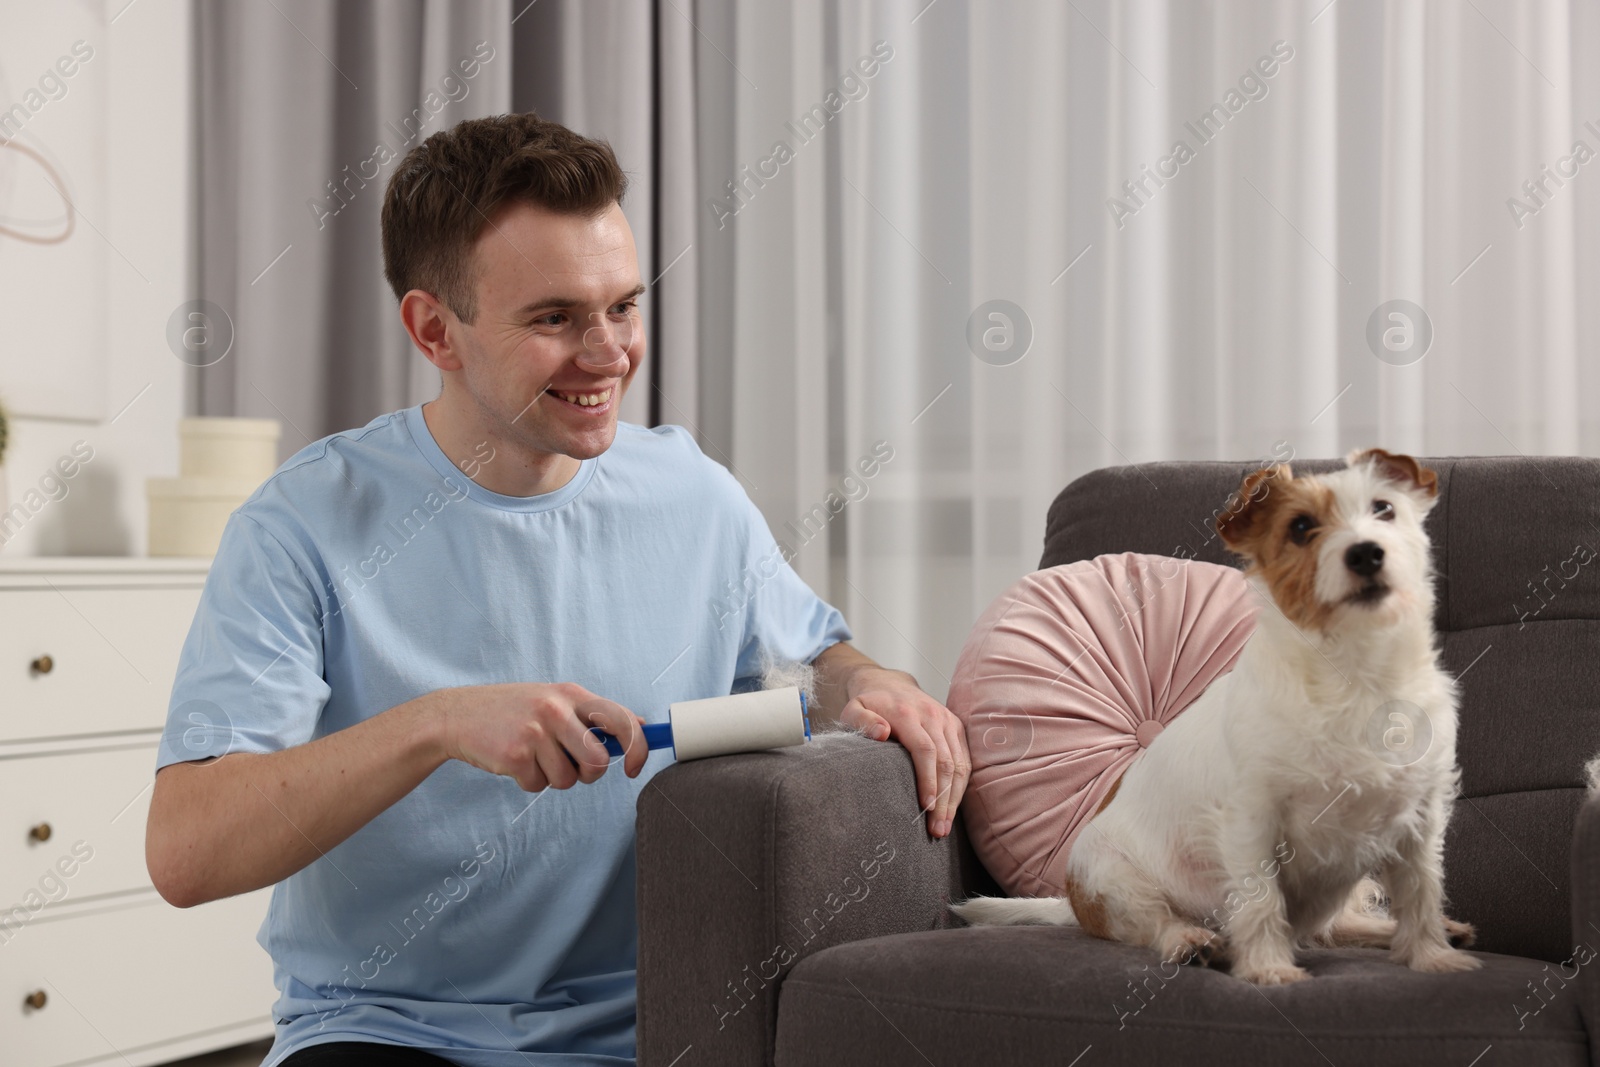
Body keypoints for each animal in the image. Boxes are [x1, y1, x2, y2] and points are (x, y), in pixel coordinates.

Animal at [953, 447, 1478, 985]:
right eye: (1301, 527)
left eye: (1384, 509)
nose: (1366, 553)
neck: (1356, 672)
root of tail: (1073, 906)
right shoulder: (1252, 821)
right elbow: (1262, 901)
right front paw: (1269, 969)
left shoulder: (1420, 821)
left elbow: (1421, 892)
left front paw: (1434, 956)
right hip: (1113, 882)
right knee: (1159, 922)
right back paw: (1192, 942)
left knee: (1336, 927)